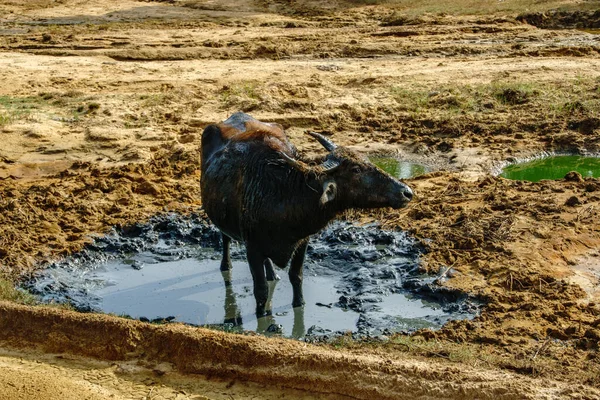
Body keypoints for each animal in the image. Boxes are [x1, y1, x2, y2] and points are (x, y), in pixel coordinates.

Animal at [202, 111, 412, 316]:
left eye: (367, 160)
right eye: (356, 169)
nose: (406, 192)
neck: (285, 194)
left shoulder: (302, 242)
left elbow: (296, 276)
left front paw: (299, 304)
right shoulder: (252, 248)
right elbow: (260, 290)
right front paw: (263, 316)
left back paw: (272, 274)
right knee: (225, 238)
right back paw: (226, 266)